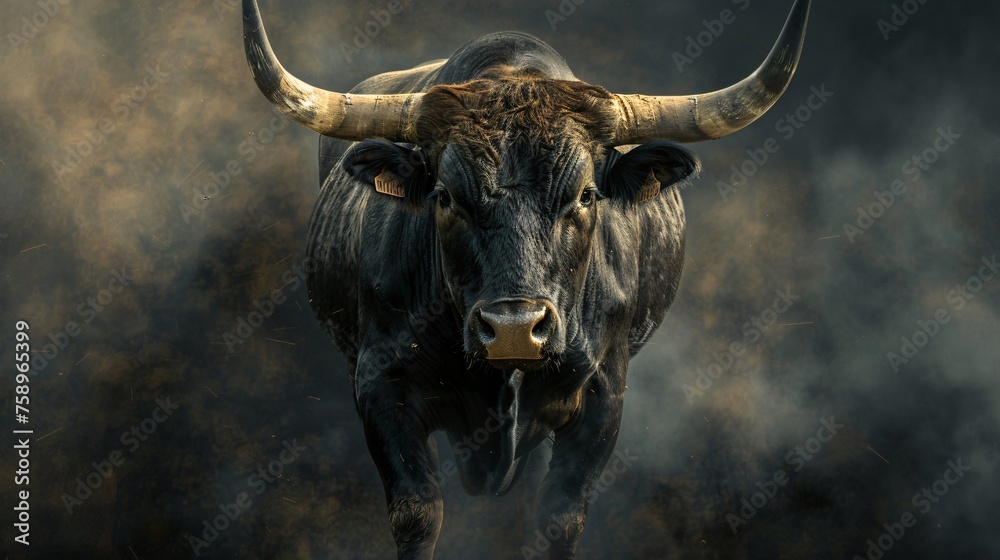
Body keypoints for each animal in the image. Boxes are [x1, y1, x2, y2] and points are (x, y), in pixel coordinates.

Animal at [242, 0, 810, 557]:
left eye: (585, 195)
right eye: (445, 196)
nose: (515, 329)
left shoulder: (603, 397)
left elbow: (557, 517)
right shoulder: (380, 386)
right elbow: (418, 513)